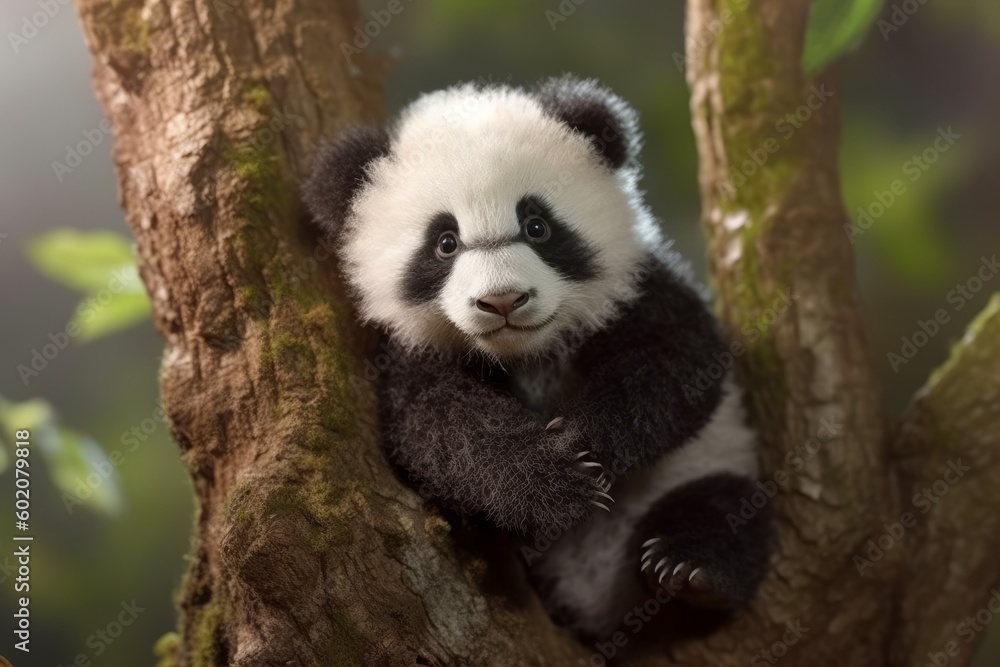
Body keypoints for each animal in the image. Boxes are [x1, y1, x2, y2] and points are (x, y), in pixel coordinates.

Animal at [303, 75, 772, 639]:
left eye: (537, 226)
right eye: (445, 243)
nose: (503, 301)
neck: (524, 353)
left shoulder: (637, 288)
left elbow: (681, 362)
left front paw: (587, 440)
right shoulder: (413, 353)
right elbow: (440, 430)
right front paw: (552, 482)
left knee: (727, 505)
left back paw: (691, 568)